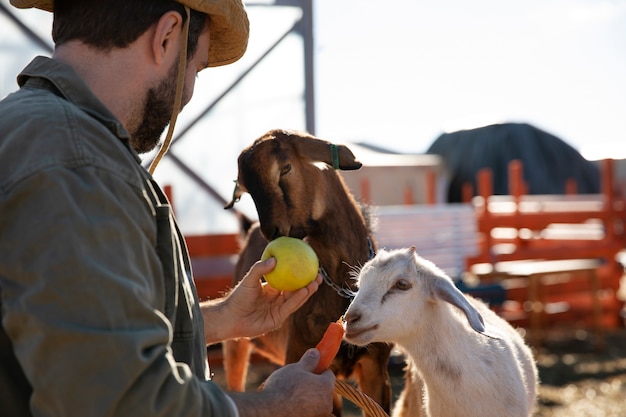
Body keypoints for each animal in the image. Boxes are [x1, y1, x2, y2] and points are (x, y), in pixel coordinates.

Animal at [223, 128, 390, 414]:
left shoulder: (376, 368)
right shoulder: (305, 360)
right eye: (246, 188)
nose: (273, 232)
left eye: (285, 168)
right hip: (236, 346)